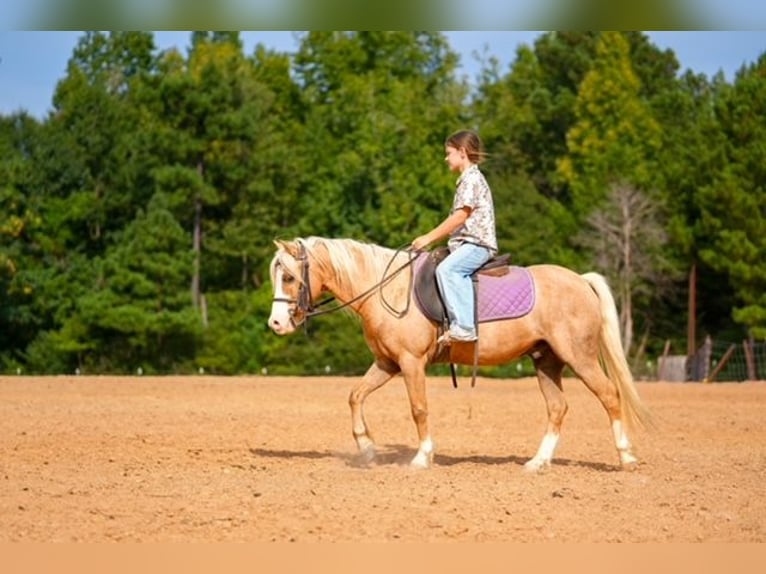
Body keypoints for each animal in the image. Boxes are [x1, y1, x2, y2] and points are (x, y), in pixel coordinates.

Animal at [267, 236, 651, 471]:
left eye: (289, 277)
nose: (276, 323)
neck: (387, 290)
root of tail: (581, 280)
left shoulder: (410, 363)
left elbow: (419, 409)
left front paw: (422, 457)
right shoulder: (387, 363)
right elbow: (355, 395)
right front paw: (367, 448)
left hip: (579, 358)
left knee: (609, 395)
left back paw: (626, 456)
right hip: (547, 361)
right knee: (558, 408)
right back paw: (537, 463)